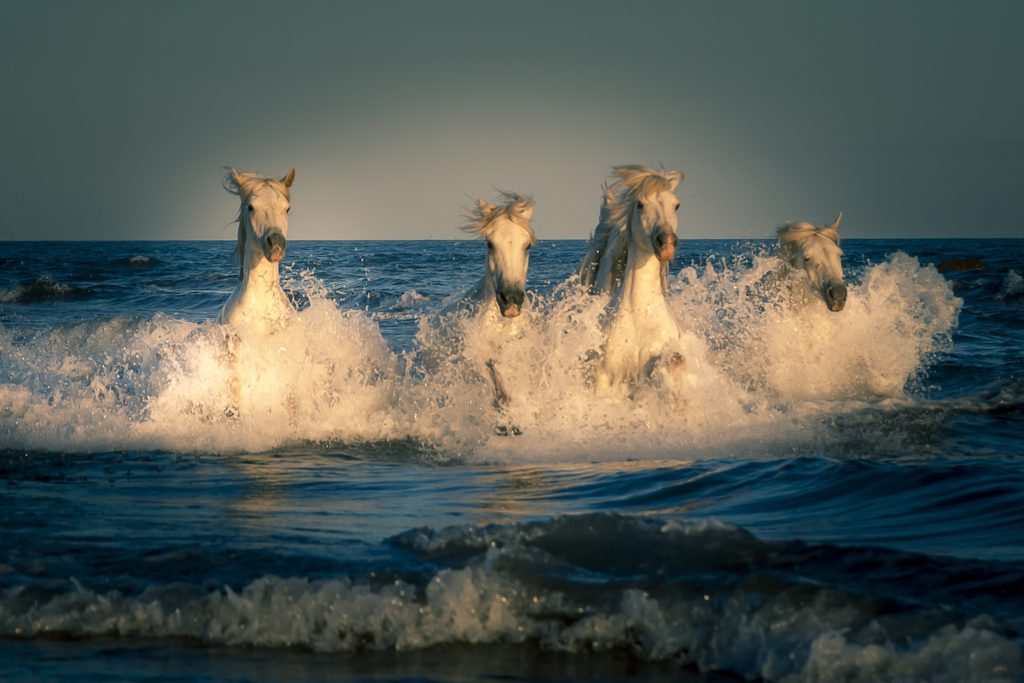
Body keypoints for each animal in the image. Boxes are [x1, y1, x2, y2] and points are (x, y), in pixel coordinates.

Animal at [576, 165, 685, 396]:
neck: (640, 314)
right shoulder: (605, 374)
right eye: (640, 204)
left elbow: (673, 360)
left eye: (677, 205)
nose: (667, 243)